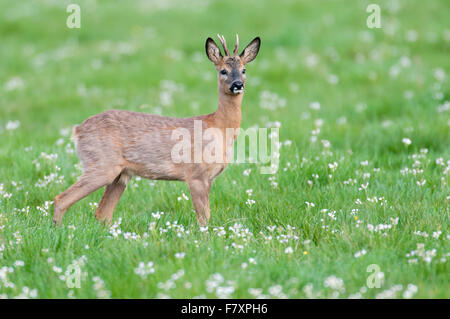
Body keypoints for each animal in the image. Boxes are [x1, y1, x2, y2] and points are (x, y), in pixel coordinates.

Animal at [53, 33, 260, 226]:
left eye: (244, 70)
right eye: (223, 71)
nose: (238, 85)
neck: (219, 127)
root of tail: (78, 130)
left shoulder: (209, 178)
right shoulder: (195, 175)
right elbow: (204, 219)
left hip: (120, 175)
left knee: (102, 213)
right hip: (101, 164)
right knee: (61, 199)